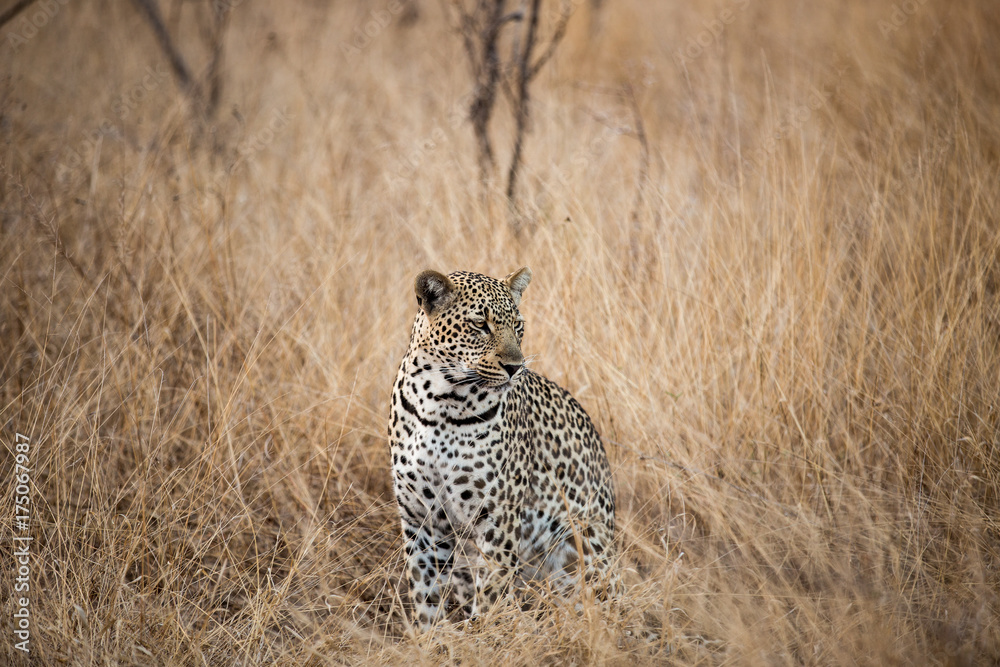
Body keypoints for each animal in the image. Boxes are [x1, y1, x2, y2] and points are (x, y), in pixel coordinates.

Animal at [387, 266, 617, 631]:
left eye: (518, 326)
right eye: (481, 324)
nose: (515, 366)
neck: (440, 401)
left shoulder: (497, 512)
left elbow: (492, 587)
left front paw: (487, 636)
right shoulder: (419, 515)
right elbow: (425, 589)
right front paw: (432, 637)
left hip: (584, 544)